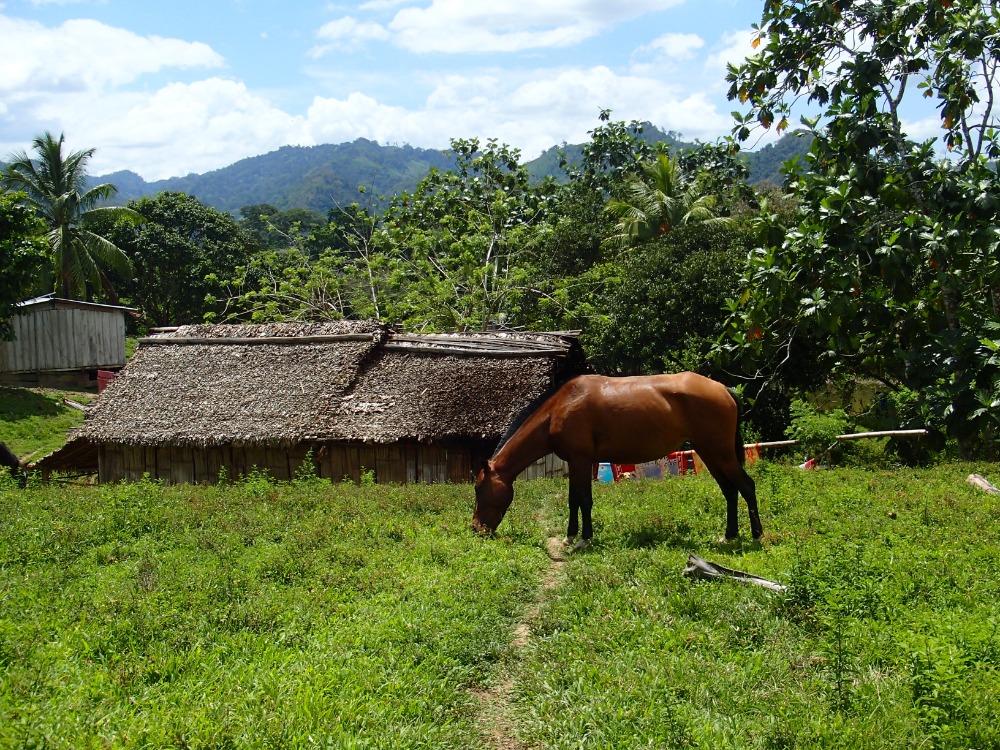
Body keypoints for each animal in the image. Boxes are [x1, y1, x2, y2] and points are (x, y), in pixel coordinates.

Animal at [472, 374, 760, 548]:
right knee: (730, 490)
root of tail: (723, 388)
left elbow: (583, 500)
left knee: (746, 486)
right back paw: (729, 535)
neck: (559, 408)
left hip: (720, 453)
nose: (476, 529)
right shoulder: (579, 462)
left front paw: (584, 539)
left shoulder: (580, 460)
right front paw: (571, 536)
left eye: (477, 488)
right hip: (709, 453)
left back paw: (757, 535)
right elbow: (574, 500)